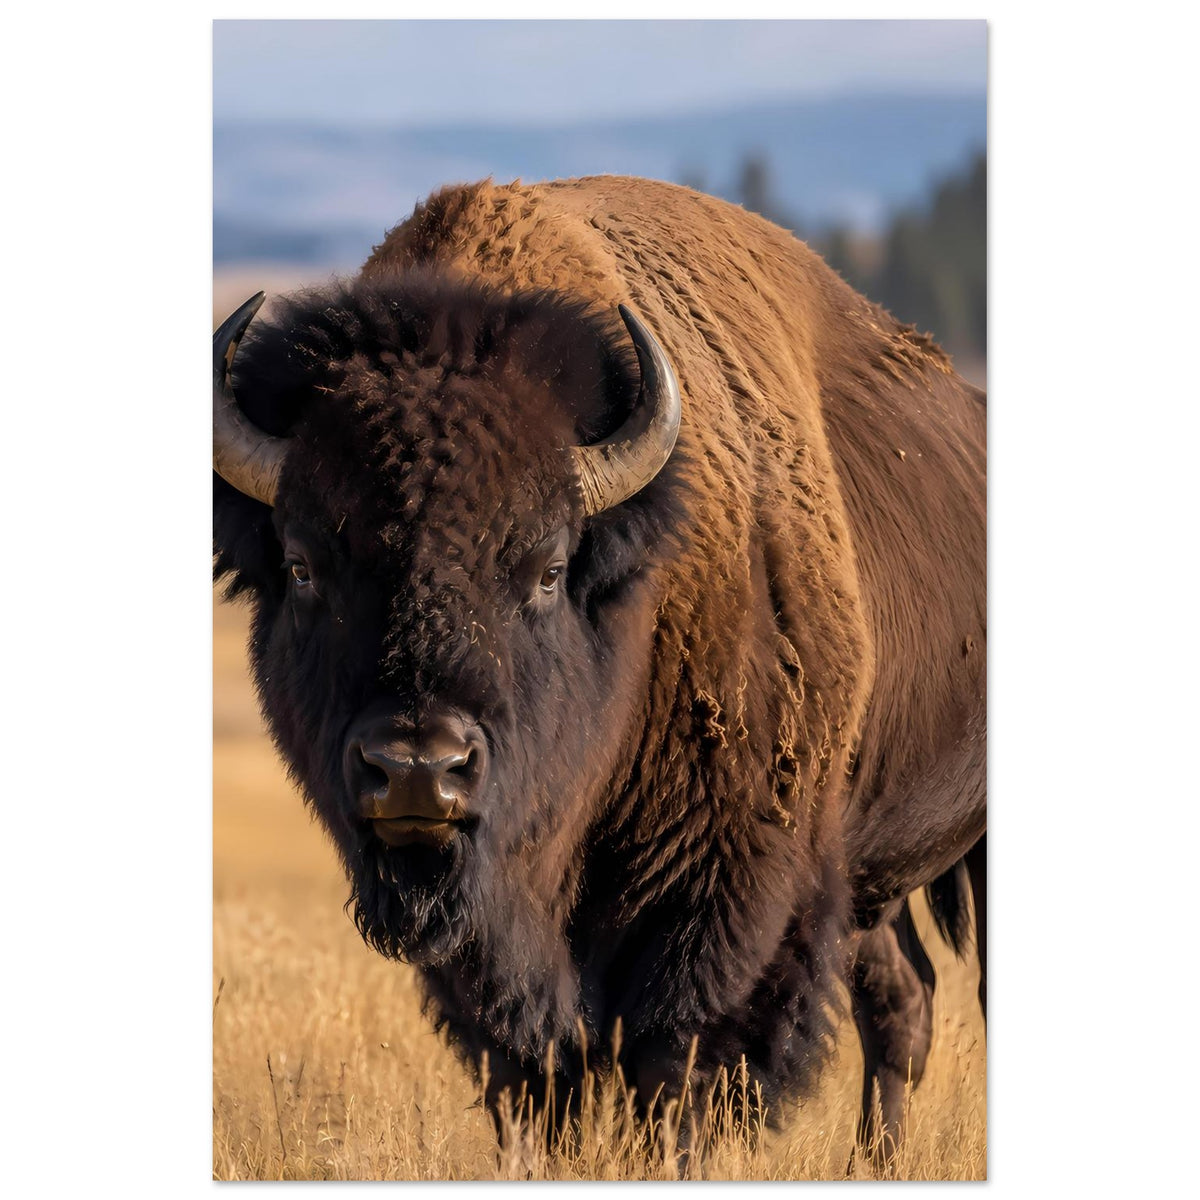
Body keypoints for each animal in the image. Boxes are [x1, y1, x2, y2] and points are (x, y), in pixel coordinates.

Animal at [213, 175, 986, 1160]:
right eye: (304, 565)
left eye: (546, 568)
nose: (419, 770)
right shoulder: (493, 947)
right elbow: (537, 1075)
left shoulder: (722, 899)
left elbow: (677, 1069)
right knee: (902, 995)